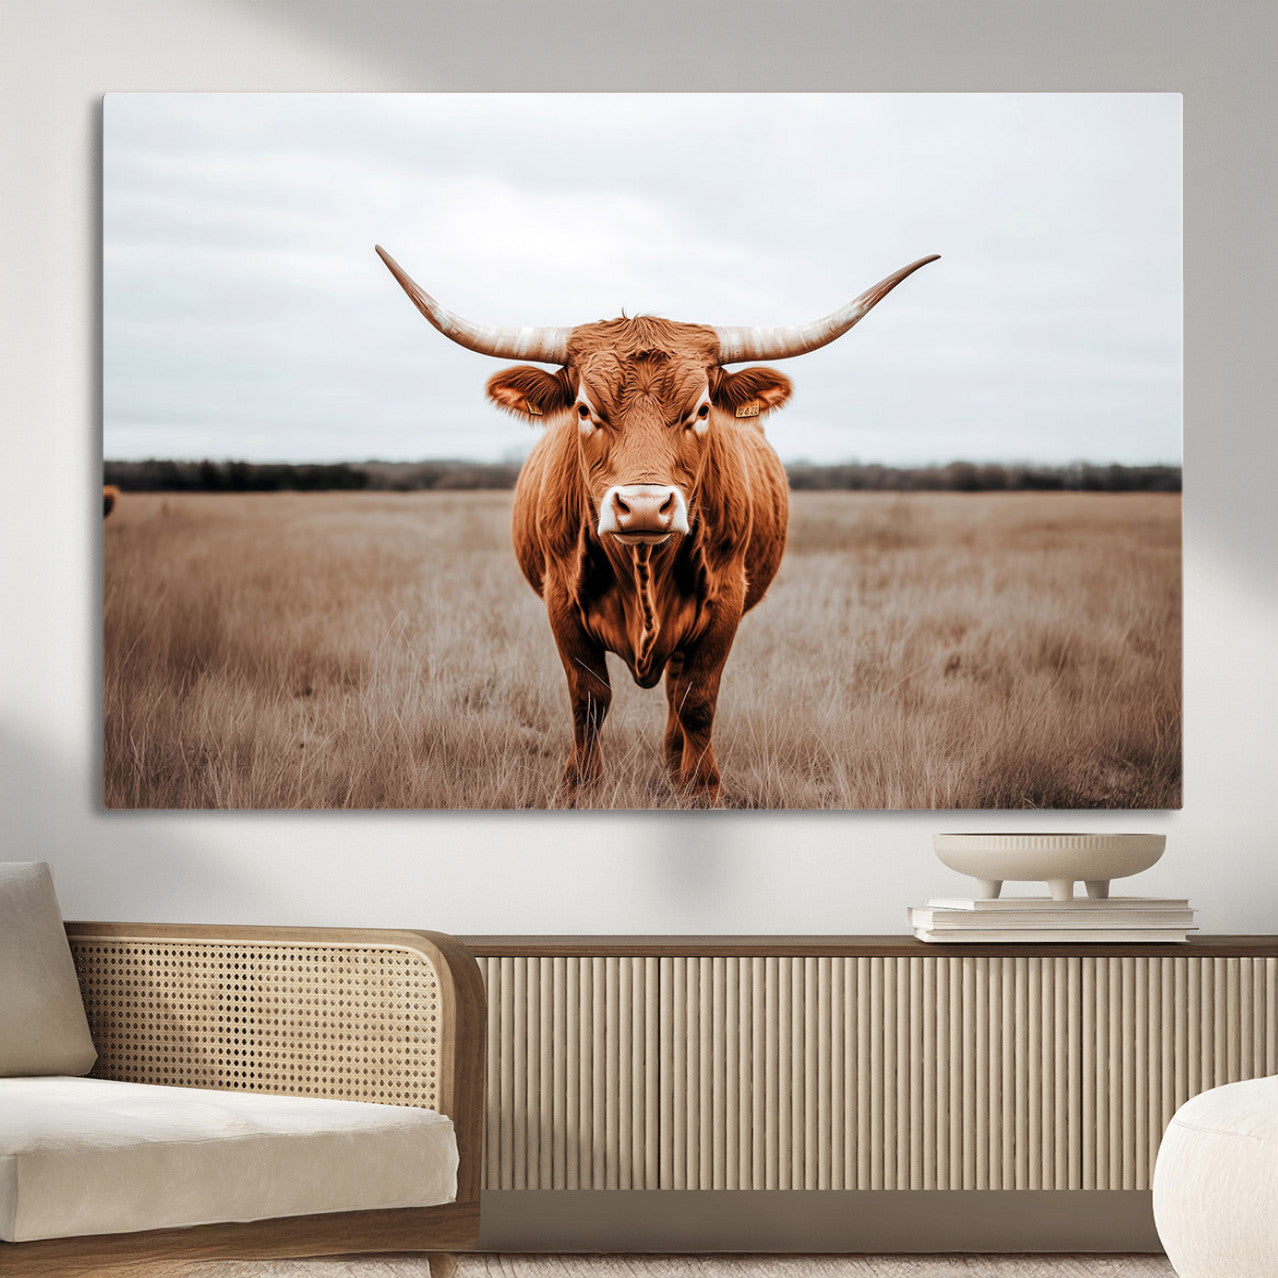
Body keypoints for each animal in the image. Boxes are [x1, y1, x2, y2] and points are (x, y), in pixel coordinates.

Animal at [377, 246, 938, 802]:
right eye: (584, 408)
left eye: (702, 409)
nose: (644, 506)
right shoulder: (561, 600)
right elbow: (589, 699)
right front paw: (580, 787)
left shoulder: (725, 601)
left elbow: (697, 700)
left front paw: (702, 787)